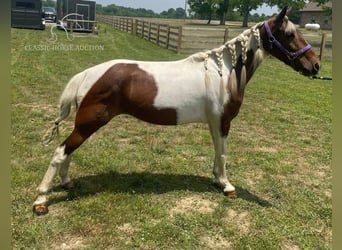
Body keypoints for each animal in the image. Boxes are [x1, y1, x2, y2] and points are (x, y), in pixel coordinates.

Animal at [32, 7, 320, 215]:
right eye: (290, 35)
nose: (315, 65)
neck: (223, 72)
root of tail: (87, 74)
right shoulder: (223, 121)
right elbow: (223, 153)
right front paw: (227, 186)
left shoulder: (215, 122)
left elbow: (217, 151)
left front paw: (217, 179)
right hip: (88, 123)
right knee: (60, 152)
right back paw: (41, 200)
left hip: (84, 125)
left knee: (68, 150)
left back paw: (67, 183)